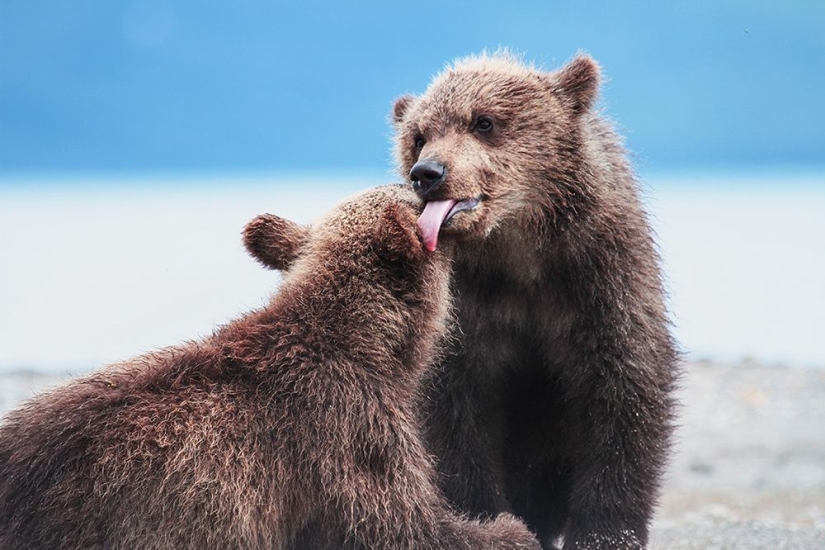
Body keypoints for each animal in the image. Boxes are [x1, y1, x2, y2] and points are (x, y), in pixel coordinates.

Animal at [0, 185, 540, 550]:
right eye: (410, 195)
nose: (419, 178)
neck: (372, 347)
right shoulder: (346, 431)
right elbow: (401, 524)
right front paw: (509, 529)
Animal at [246, 52, 684, 550]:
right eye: (419, 136)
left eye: (484, 121)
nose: (427, 173)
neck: (519, 255)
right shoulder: (470, 313)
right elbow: (457, 420)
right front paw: (486, 515)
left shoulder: (599, 281)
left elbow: (621, 397)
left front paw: (603, 533)